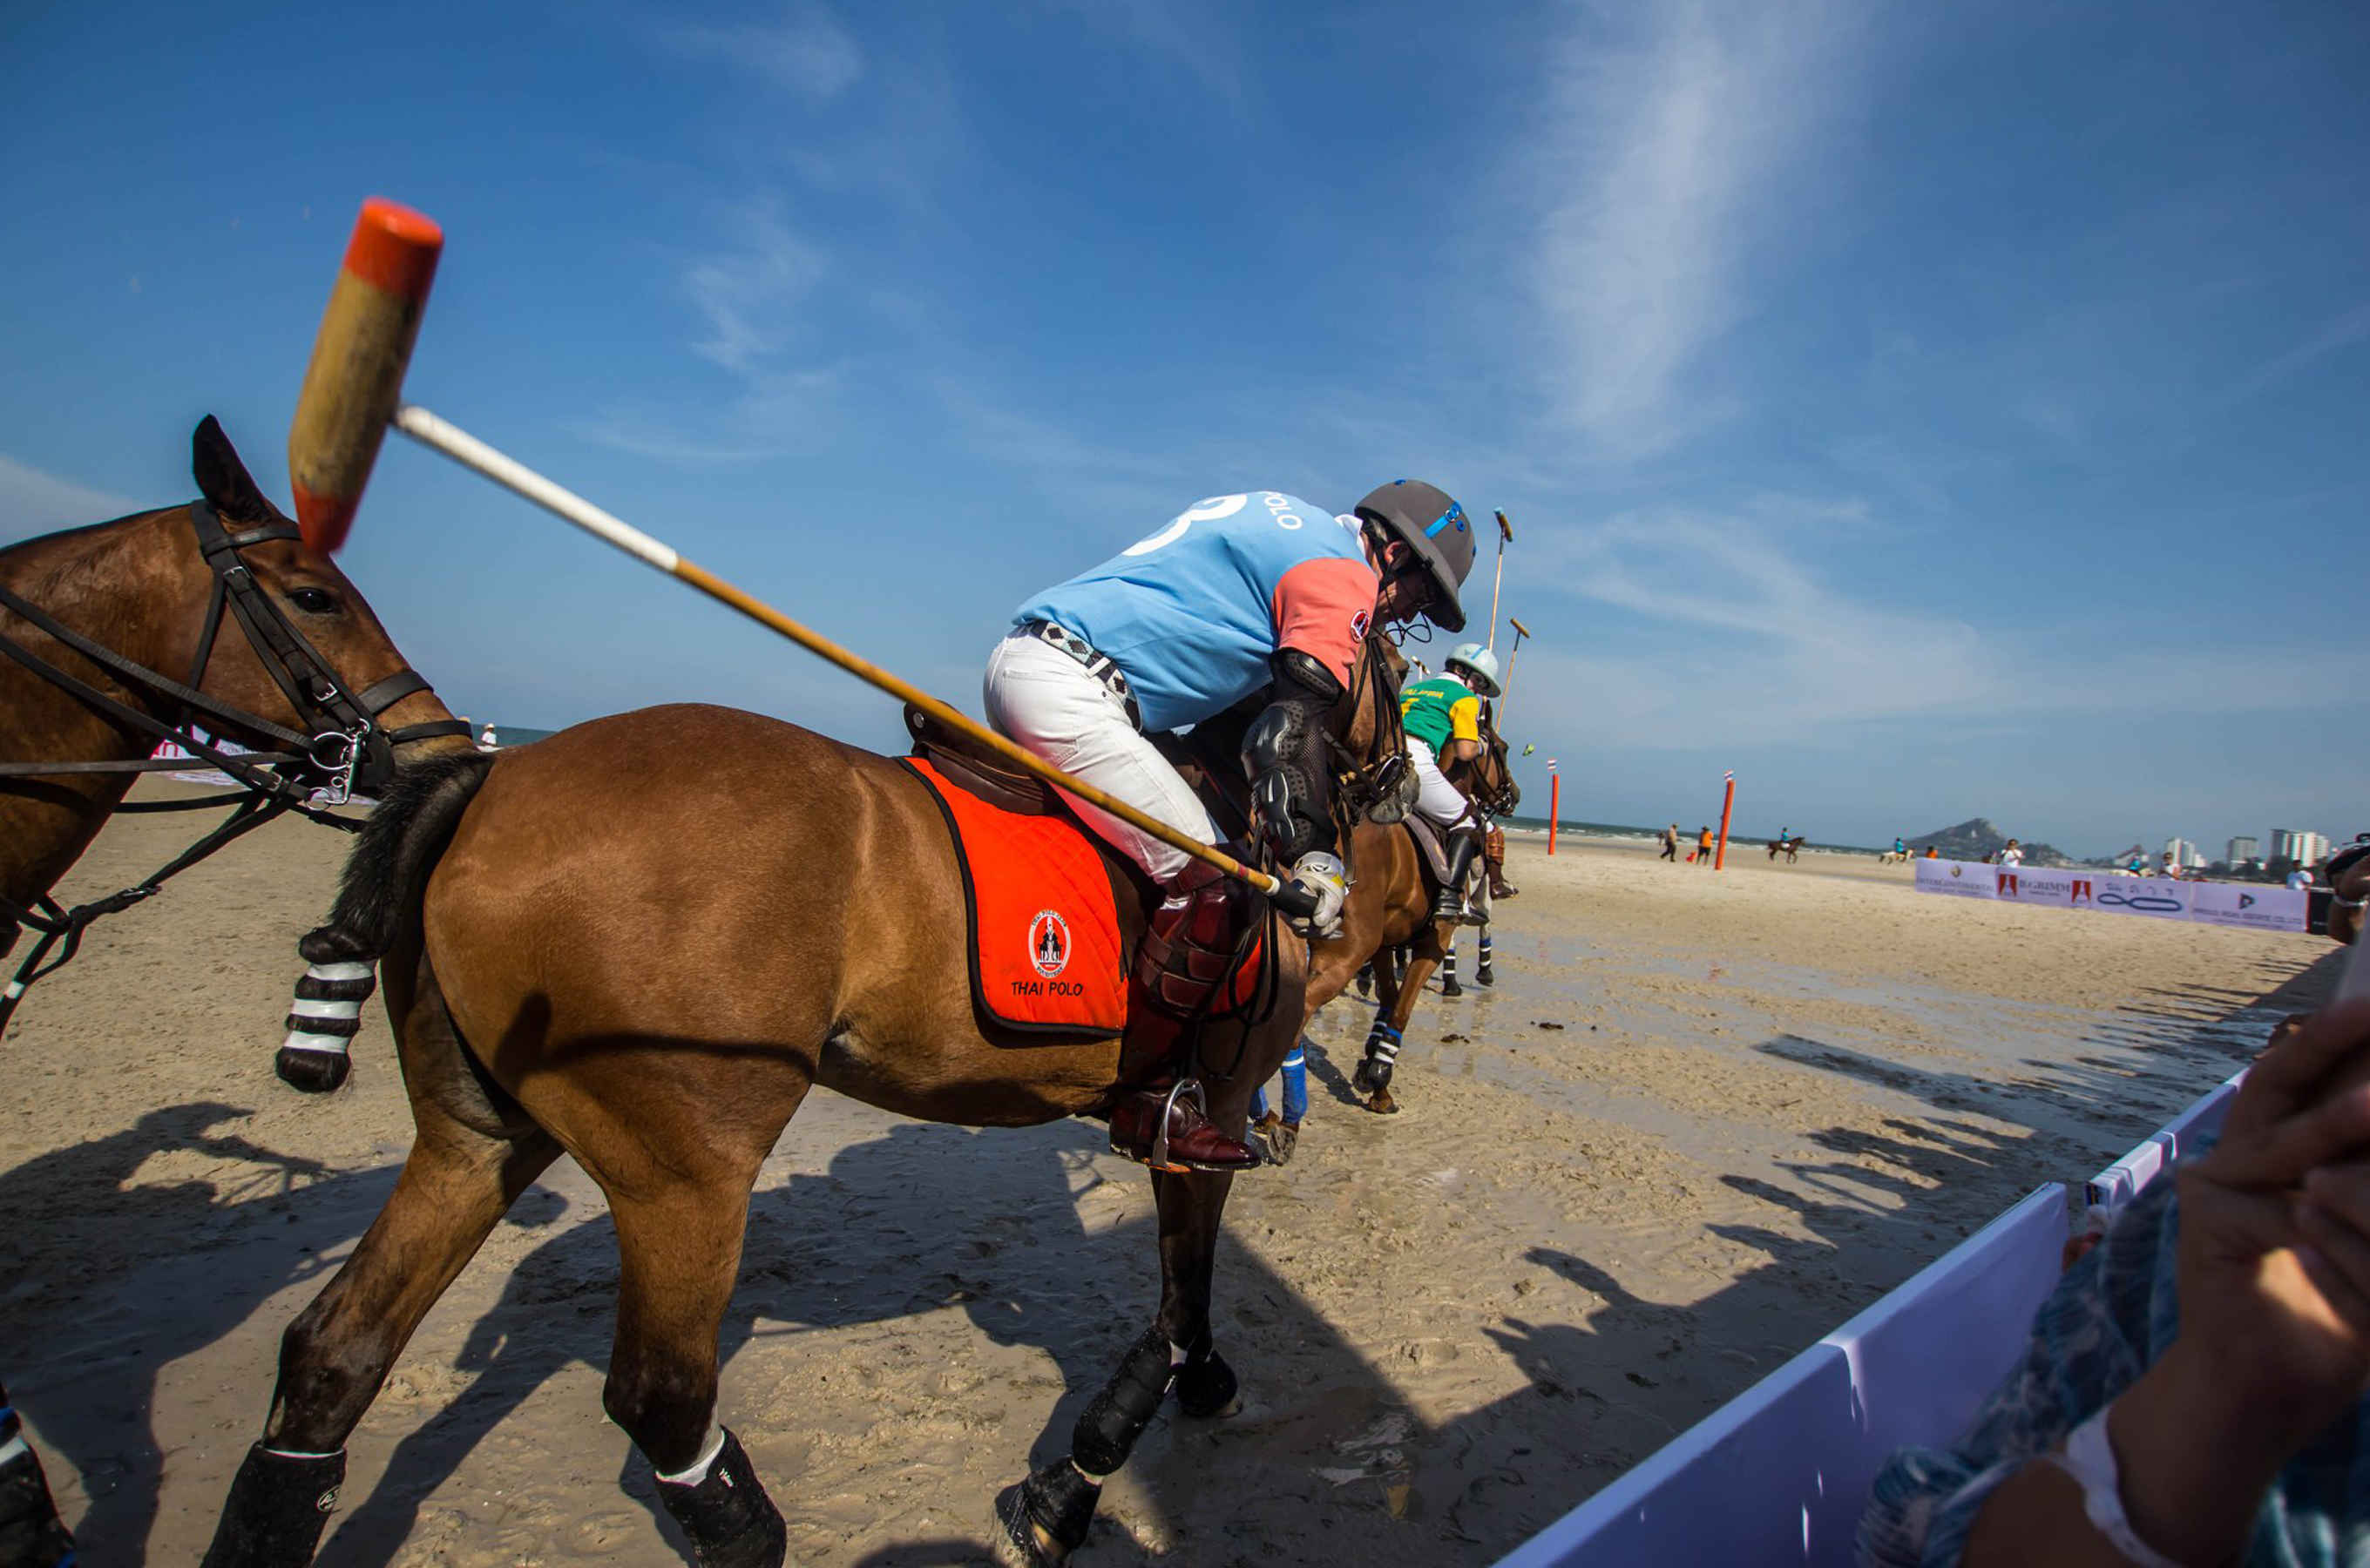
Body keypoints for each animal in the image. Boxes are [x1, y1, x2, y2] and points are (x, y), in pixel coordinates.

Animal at [199, 634, 1403, 1563]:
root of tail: (494, 778)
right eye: (1397, 671)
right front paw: (1069, 1489)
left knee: (334, 1354)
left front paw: (1183, 1395)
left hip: (478, 1138)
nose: (1421, 786)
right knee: (661, 1397)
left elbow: (1182, 1309)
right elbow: (1176, 1308)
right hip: (684, 1172)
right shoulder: (1207, 1117)